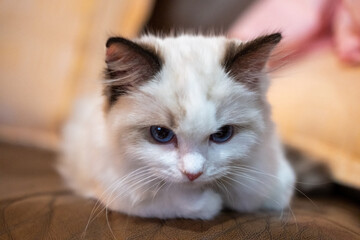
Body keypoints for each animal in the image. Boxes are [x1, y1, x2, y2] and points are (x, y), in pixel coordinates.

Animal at [58, 32, 296, 220]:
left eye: (222, 134)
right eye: (161, 134)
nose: (193, 174)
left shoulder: (274, 182)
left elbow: (250, 198)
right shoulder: (117, 191)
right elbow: (175, 202)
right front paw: (211, 202)